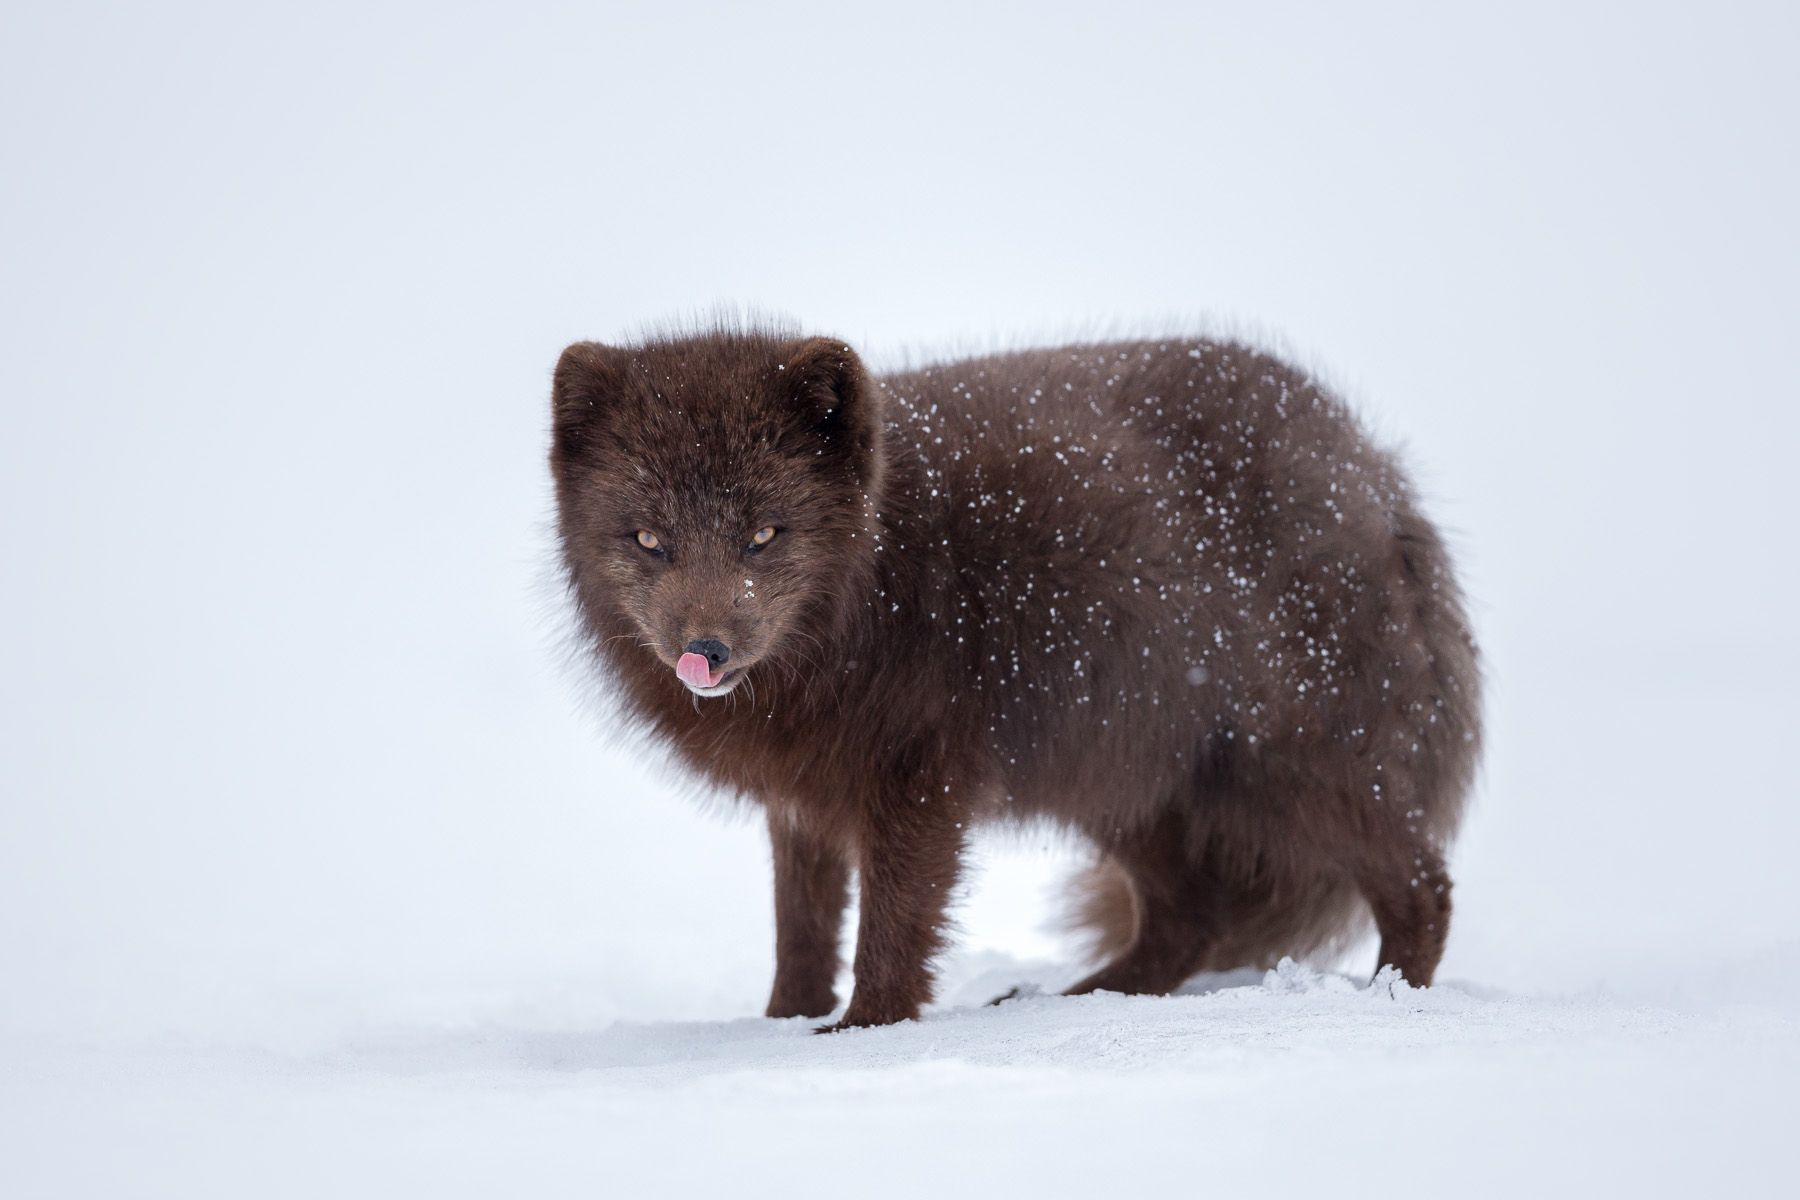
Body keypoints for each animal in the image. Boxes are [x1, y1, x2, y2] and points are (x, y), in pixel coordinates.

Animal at [547, 322, 1476, 1036]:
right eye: (649, 539)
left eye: (765, 534)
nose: (703, 649)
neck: (883, 580)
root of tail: (1375, 474)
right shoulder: (805, 794)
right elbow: (803, 926)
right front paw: (782, 1024)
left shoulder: (920, 775)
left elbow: (894, 922)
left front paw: (862, 1034)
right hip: (1126, 777)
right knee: (1190, 913)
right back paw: (1074, 1002)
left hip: (1292, 764)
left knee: (1422, 884)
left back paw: (1390, 1001)